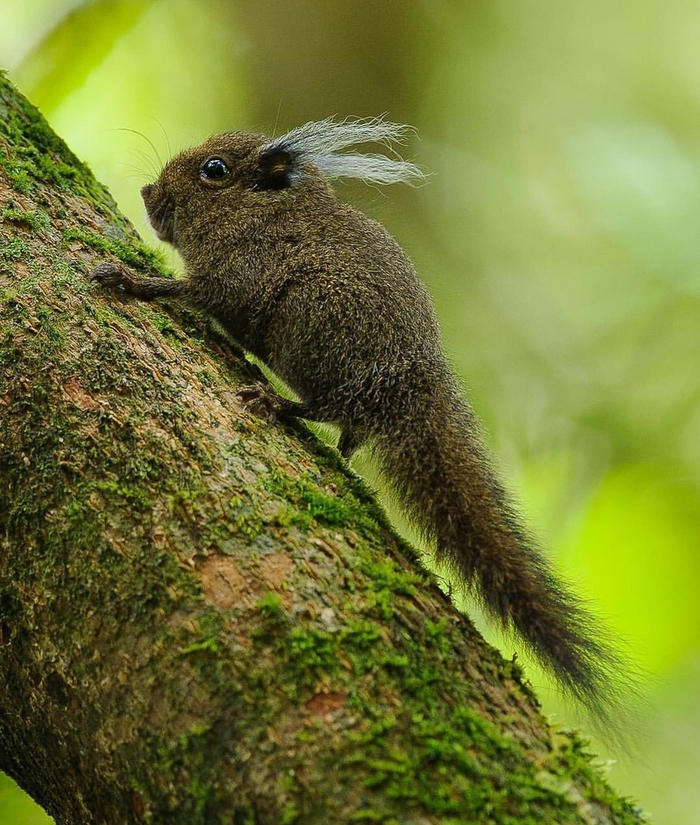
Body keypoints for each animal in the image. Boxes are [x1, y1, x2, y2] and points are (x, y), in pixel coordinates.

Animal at [91, 116, 633, 725]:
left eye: (215, 171)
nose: (147, 194)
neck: (262, 215)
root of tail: (415, 391)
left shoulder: (238, 272)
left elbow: (189, 290)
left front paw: (130, 280)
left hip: (315, 321)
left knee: (337, 406)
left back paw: (281, 403)